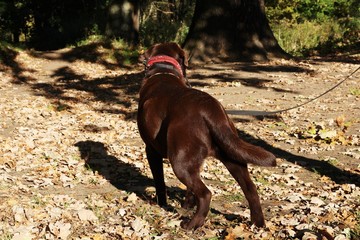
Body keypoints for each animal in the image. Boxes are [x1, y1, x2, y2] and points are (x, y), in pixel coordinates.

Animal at [138, 42, 276, 230]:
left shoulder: (151, 150)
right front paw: (187, 205)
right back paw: (258, 224)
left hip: (180, 161)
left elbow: (159, 181)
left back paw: (192, 224)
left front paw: (162, 203)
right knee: (251, 189)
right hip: (231, 155)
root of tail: (210, 110)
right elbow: (189, 190)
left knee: (205, 194)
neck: (164, 70)